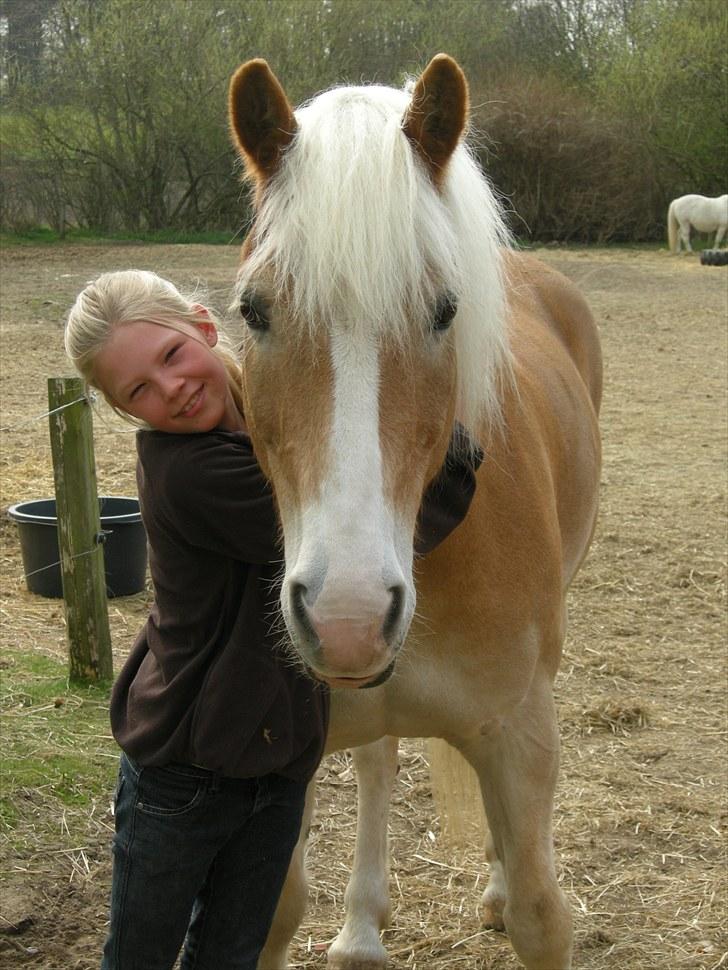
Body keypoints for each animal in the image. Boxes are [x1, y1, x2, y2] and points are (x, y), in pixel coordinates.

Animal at [229, 54, 604, 968]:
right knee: (377, 763)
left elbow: (542, 912)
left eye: (444, 310)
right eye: (254, 310)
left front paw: (511, 895)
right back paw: (362, 923)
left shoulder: (519, 734)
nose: (349, 616)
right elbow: (274, 908)